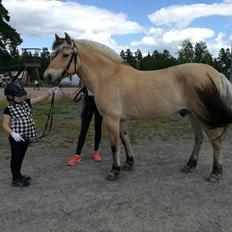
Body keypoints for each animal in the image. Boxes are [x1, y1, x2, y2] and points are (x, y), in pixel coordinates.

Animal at [44, 32, 232, 181]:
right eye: (53, 54)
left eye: (66, 54)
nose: (48, 76)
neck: (108, 76)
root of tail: (216, 73)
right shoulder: (120, 119)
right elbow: (125, 140)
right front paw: (128, 163)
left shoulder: (111, 119)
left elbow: (115, 145)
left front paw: (114, 171)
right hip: (193, 115)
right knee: (199, 139)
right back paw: (190, 165)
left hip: (204, 115)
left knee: (216, 142)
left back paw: (215, 174)